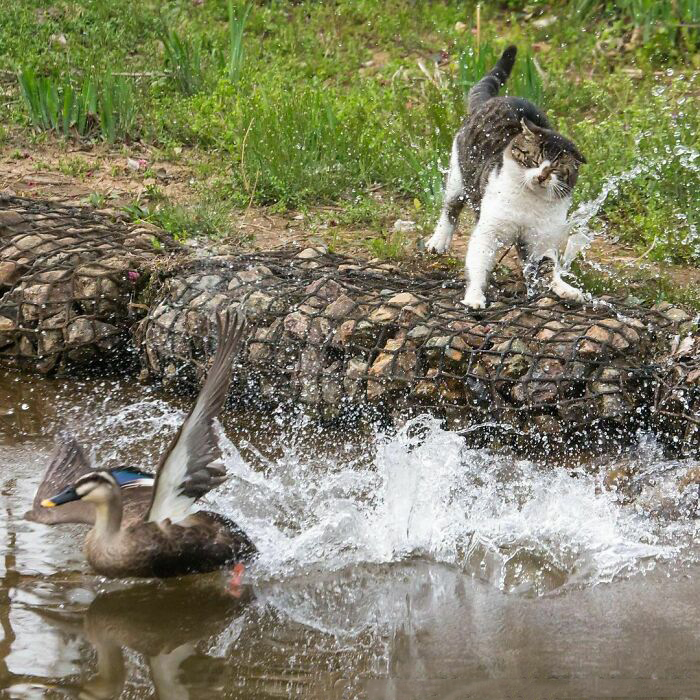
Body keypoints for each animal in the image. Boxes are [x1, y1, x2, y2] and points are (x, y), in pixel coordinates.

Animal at [426, 43, 584, 306]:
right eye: (534, 160)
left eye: (555, 170)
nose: (541, 176)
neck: (529, 202)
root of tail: (493, 99)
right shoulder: (489, 230)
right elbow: (478, 264)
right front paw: (475, 296)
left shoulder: (540, 237)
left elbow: (548, 266)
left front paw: (562, 287)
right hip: (458, 178)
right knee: (450, 209)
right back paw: (438, 241)